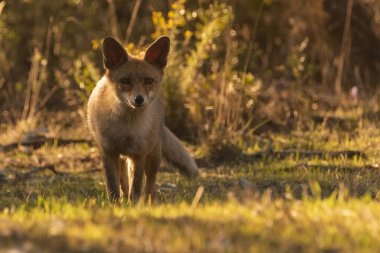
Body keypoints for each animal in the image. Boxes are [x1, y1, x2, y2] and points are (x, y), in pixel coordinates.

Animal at [86, 36, 199, 202]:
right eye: (125, 81)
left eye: (148, 81)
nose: (139, 99)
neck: (126, 128)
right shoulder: (108, 153)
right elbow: (113, 188)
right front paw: (114, 205)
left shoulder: (139, 156)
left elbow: (137, 188)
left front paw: (134, 205)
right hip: (122, 159)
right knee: (124, 185)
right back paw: (124, 200)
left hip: (153, 158)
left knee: (151, 186)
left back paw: (152, 203)